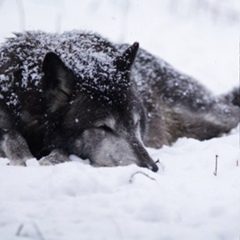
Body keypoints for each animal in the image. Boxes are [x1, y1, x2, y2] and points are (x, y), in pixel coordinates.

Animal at [0, 31, 239, 172]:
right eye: (103, 127)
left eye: (135, 123)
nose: (152, 167)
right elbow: (11, 136)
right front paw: (23, 158)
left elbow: (63, 149)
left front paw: (48, 159)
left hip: (201, 119)